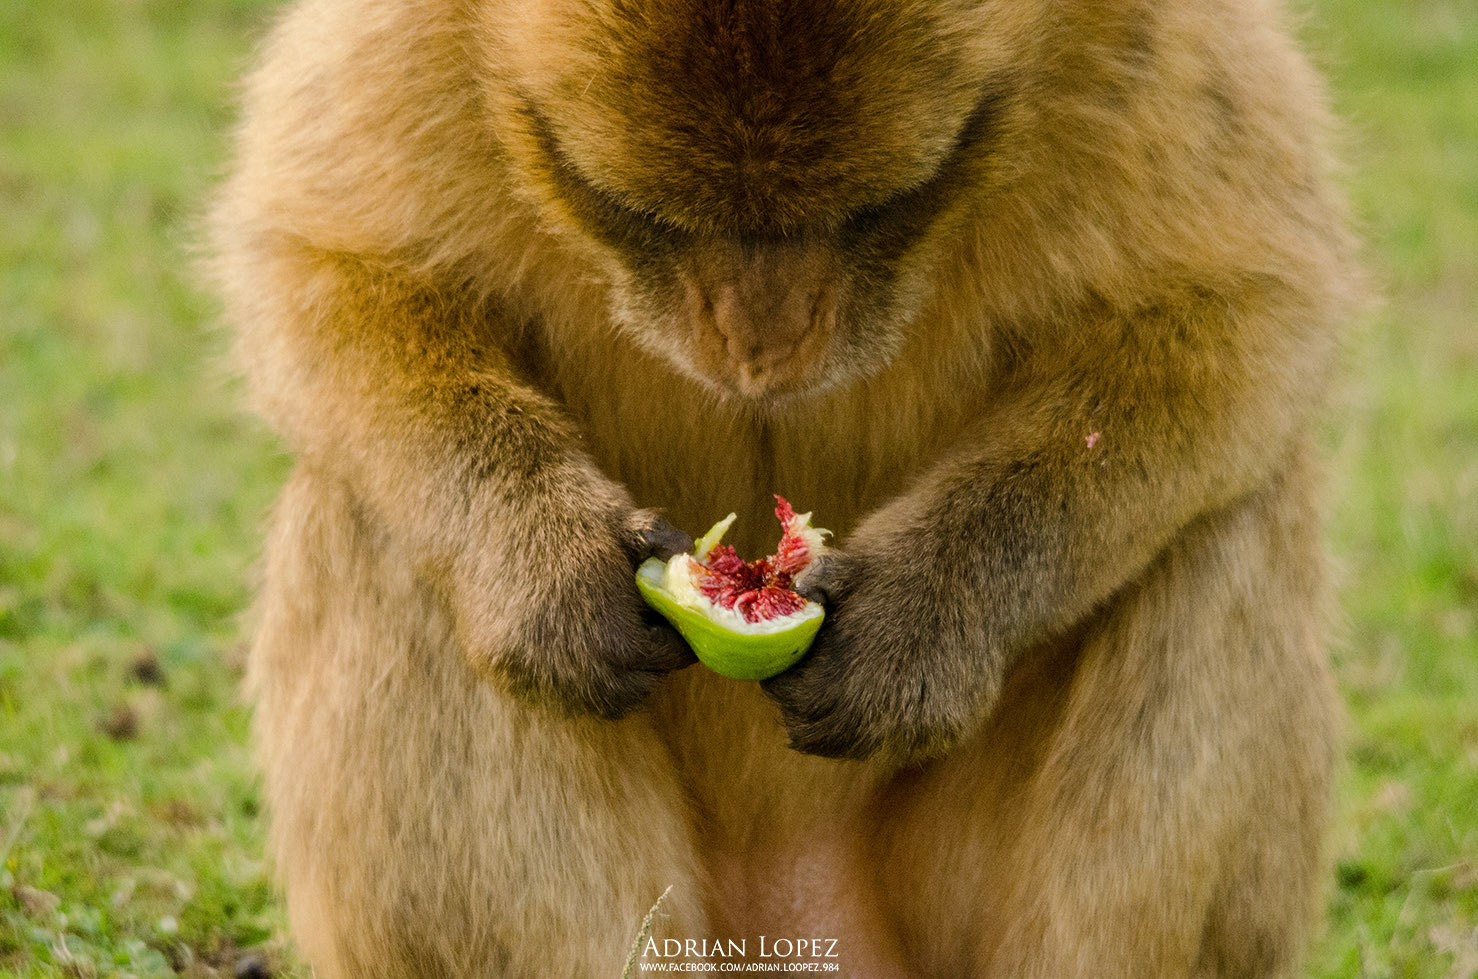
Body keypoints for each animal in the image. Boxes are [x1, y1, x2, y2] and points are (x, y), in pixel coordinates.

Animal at [209, 0, 1360, 974]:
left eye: (895, 202)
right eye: (629, 209)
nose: (763, 346)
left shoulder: (1159, 49)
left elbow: (1241, 310)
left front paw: (922, 618)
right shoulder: (397, 40)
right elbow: (328, 267)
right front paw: (539, 566)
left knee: (1222, 521)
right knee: (376, 522)